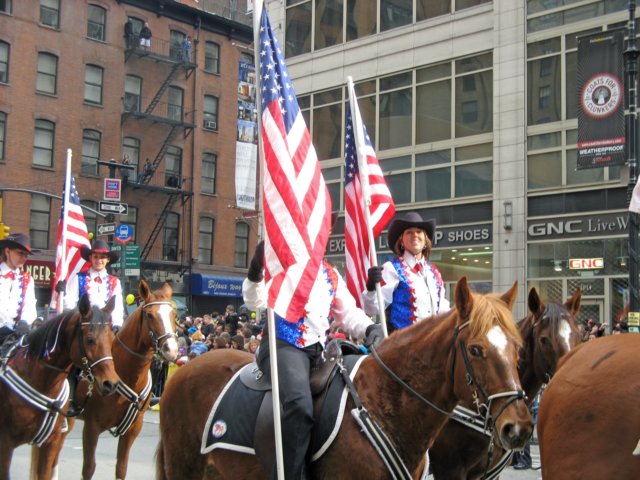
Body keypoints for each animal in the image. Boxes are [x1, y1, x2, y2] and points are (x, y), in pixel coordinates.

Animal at [0, 294, 120, 478]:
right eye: (90, 339)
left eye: (111, 339)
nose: (111, 383)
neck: (42, 382)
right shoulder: (6, 443)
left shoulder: (50, 443)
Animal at [45, 280, 179, 478]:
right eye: (149, 315)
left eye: (173, 314)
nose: (171, 349)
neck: (127, 374)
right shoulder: (92, 427)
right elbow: (88, 468)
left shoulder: (132, 429)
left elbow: (121, 468)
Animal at [156, 278, 536, 480]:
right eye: (475, 349)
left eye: (519, 347)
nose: (518, 428)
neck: (385, 405)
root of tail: (184, 368)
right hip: (184, 466)